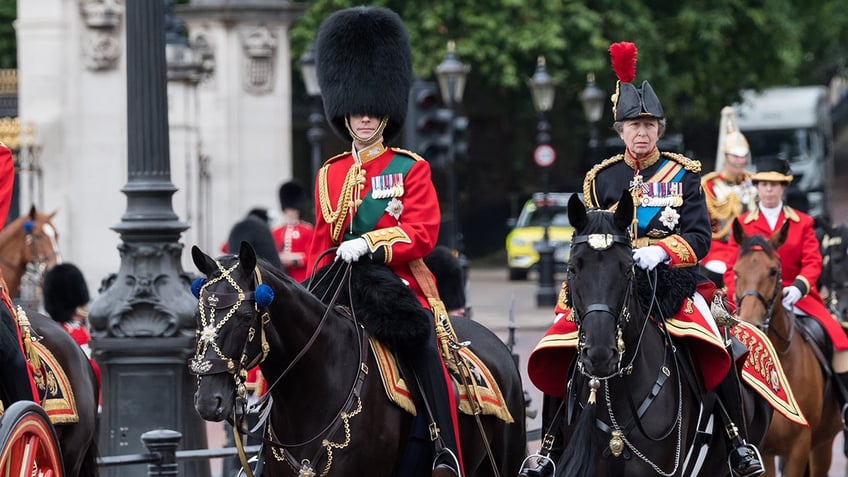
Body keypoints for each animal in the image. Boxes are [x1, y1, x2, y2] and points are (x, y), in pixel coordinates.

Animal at [728, 219, 840, 476]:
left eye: (773, 271)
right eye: (736, 271)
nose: (751, 323)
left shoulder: (800, 445)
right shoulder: (765, 449)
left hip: (823, 444)